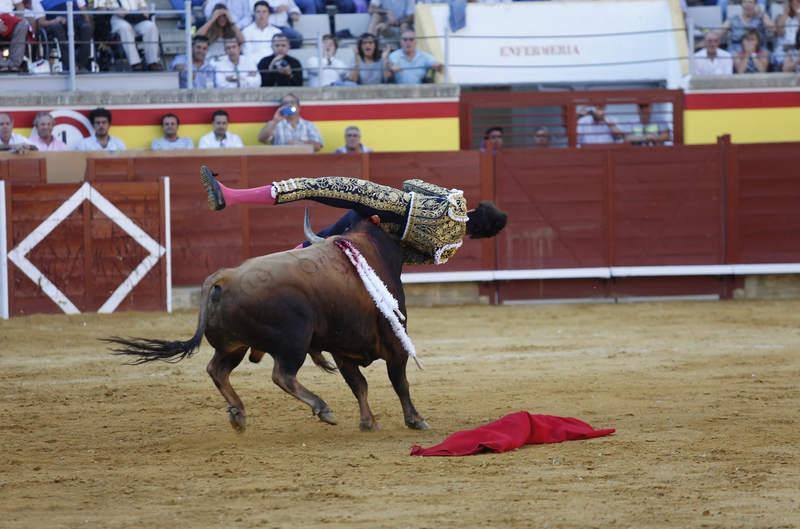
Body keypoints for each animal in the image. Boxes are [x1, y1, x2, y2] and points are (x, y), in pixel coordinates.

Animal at [108, 212, 432, 432]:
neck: (370, 249)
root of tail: (223, 278)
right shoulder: (393, 343)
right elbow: (398, 382)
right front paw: (415, 419)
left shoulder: (342, 351)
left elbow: (359, 385)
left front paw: (368, 422)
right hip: (293, 341)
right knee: (282, 375)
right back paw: (321, 407)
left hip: (234, 345)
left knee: (217, 370)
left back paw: (238, 414)